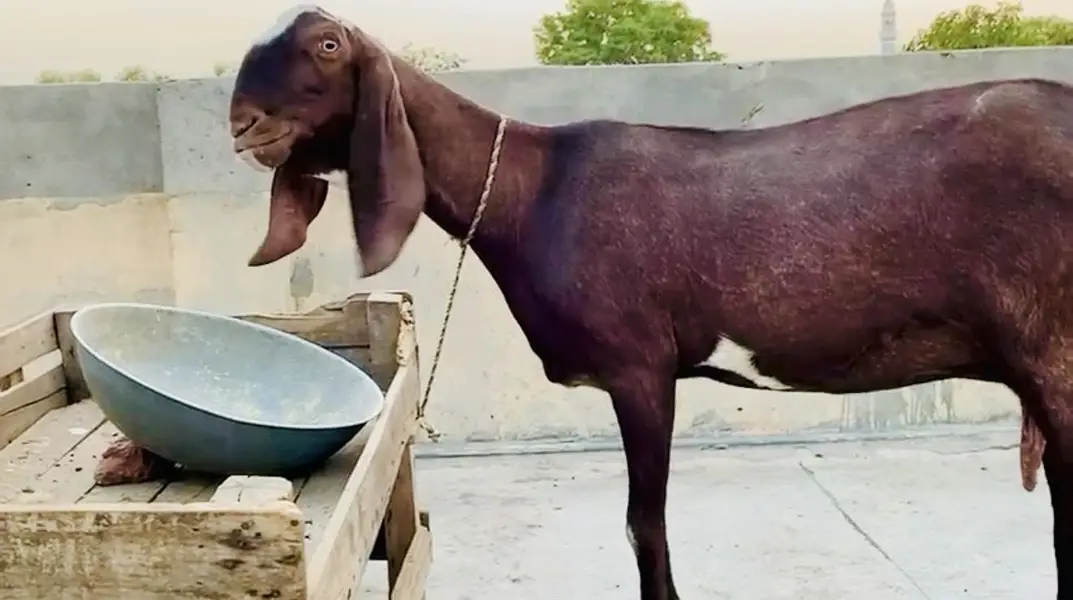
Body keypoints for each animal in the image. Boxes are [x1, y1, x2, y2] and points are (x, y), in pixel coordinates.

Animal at [228, 6, 1073, 599]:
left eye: (328, 46)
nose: (244, 124)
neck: (533, 190)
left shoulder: (639, 367)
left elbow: (646, 528)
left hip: (1054, 355)